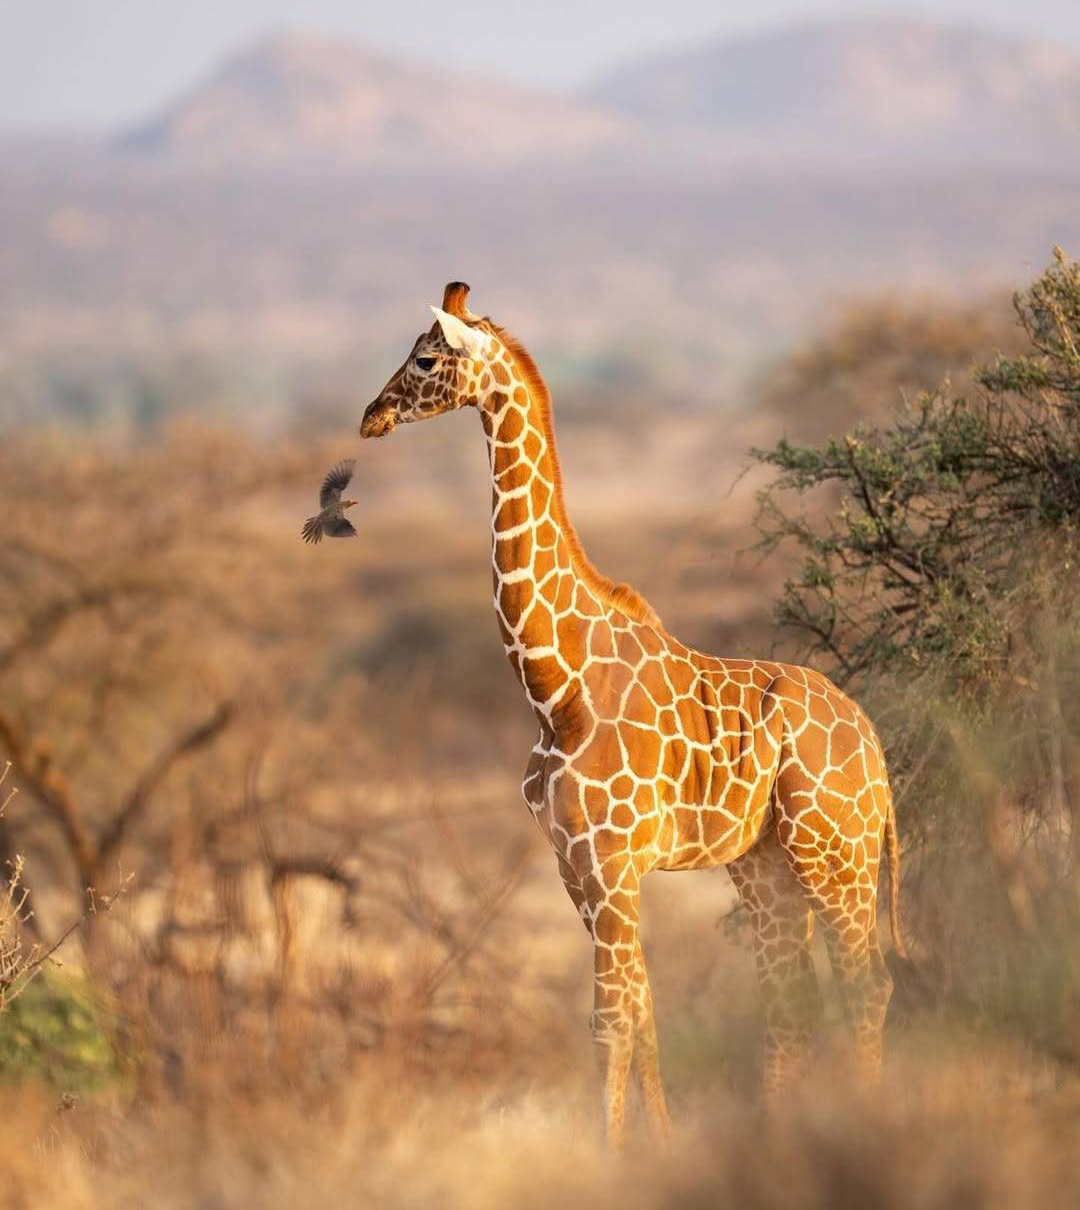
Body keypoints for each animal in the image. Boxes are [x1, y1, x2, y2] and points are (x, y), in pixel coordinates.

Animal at [360, 283, 907, 1146]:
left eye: (424, 358)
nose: (370, 416)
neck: (555, 685)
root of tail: (877, 750)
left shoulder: (613, 862)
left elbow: (612, 1020)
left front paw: (616, 1154)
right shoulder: (575, 865)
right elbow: (641, 1013)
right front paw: (663, 1144)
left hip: (838, 854)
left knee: (867, 985)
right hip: (766, 867)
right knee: (790, 998)